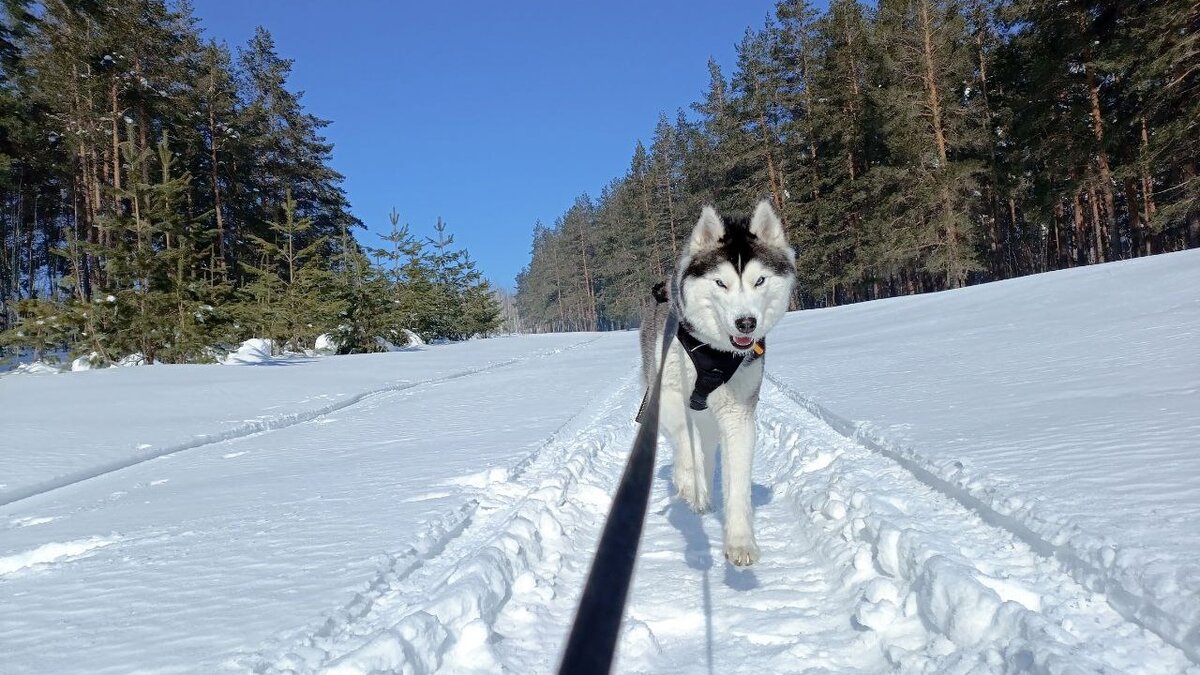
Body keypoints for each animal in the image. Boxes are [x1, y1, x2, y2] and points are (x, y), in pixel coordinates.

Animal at [638, 198, 796, 562]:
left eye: (760, 280)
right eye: (721, 283)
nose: (746, 322)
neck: (714, 351)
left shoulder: (738, 412)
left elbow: (736, 477)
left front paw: (740, 541)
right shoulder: (668, 392)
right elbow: (685, 442)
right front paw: (688, 482)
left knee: (709, 444)